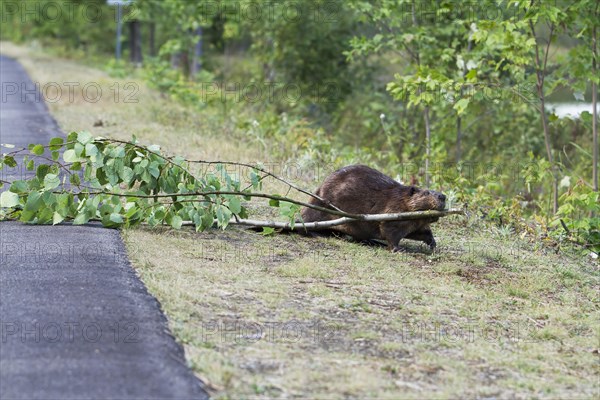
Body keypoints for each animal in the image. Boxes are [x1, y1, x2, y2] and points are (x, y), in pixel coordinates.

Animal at [300, 164, 446, 252]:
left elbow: (421, 232)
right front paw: (398, 249)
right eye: (426, 193)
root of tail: (317, 192)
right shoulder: (393, 211)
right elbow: (389, 230)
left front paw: (433, 244)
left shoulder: (415, 223)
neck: (401, 199)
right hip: (321, 209)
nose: (443, 196)